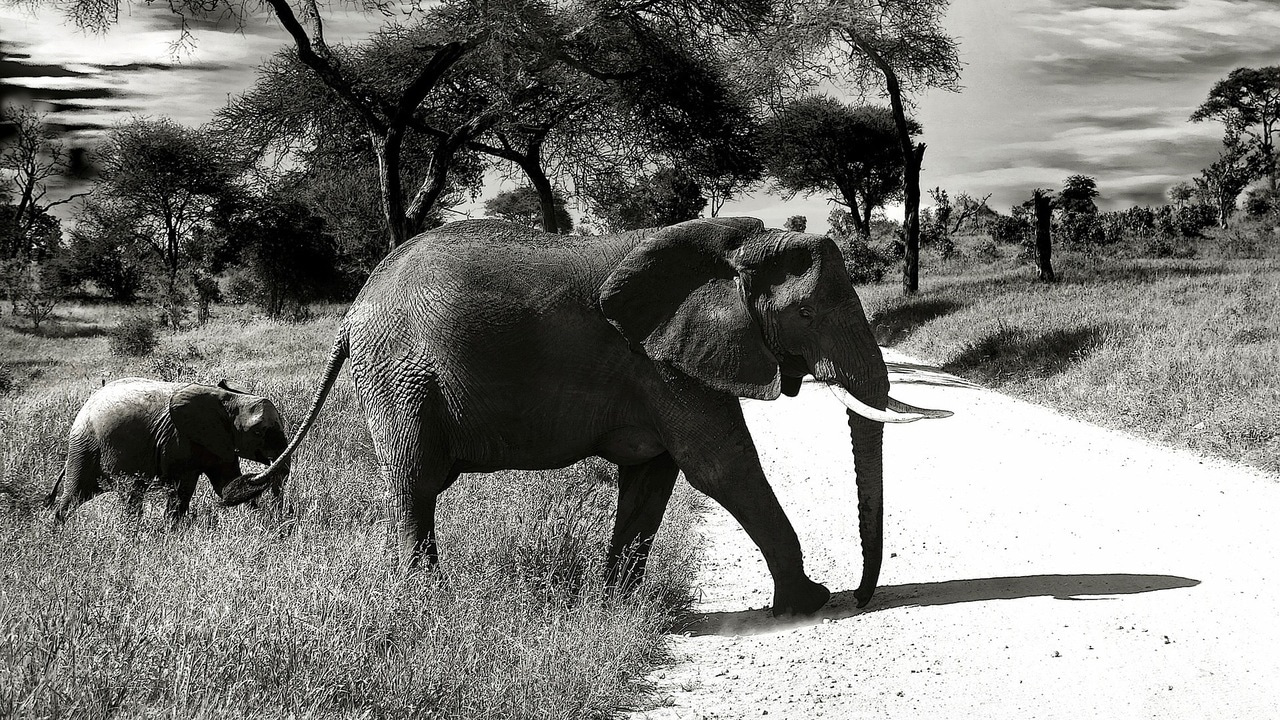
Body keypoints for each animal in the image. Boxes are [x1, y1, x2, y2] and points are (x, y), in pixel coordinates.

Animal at [46, 377, 290, 529]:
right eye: (259, 432)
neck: (228, 398)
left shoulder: (219, 441)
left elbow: (227, 487)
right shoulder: (179, 439)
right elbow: (183, 488)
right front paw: (173, 532)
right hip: (85, 445)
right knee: (82, 494)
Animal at [223, 217, 949, 616]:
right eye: (806, 314)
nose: (862, 595)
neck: (734, 244)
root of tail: (351, 312)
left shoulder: (659, 365)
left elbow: (656, 477)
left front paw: (613, 607)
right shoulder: (659, 362)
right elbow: (722, 467)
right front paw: (810, 603)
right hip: (398, 378)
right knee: (414, 483)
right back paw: (424, 602)